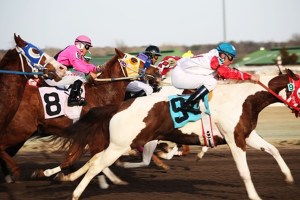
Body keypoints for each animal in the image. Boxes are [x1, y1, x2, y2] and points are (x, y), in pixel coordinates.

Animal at [54, 68, 300, 198]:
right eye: (299, 88)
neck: (244, 100)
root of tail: (120, 106)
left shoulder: (247, 135)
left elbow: (273, 149)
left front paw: (288, 178)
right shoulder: (235, 140)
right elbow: (245, 172)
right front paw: (255, 195)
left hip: (120, 143)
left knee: (95, 160)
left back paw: (67, 177)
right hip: (120, 145)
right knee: (97, 164)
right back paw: (76, 192)